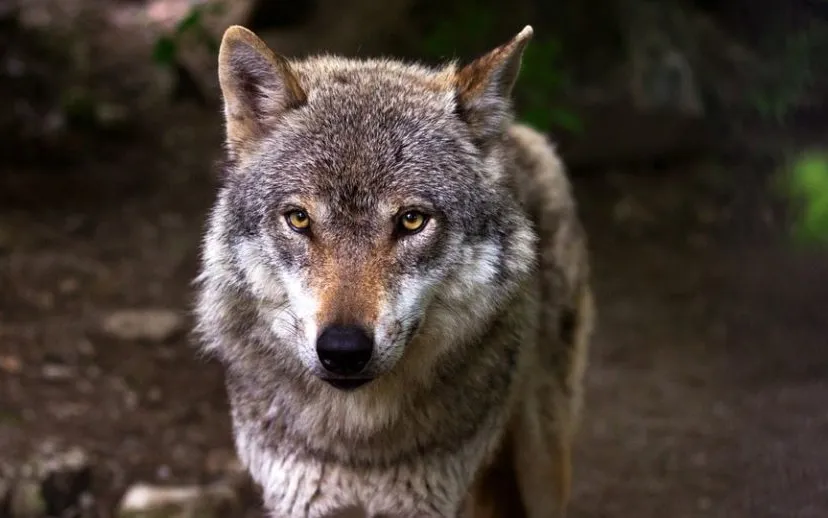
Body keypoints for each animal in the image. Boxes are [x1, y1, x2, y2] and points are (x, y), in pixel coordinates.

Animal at [194, 23, 595, 518]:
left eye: (412, 220)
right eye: (299, 219)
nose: (343, 349)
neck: (360, 444)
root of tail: (517, 133)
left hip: (542, 465)